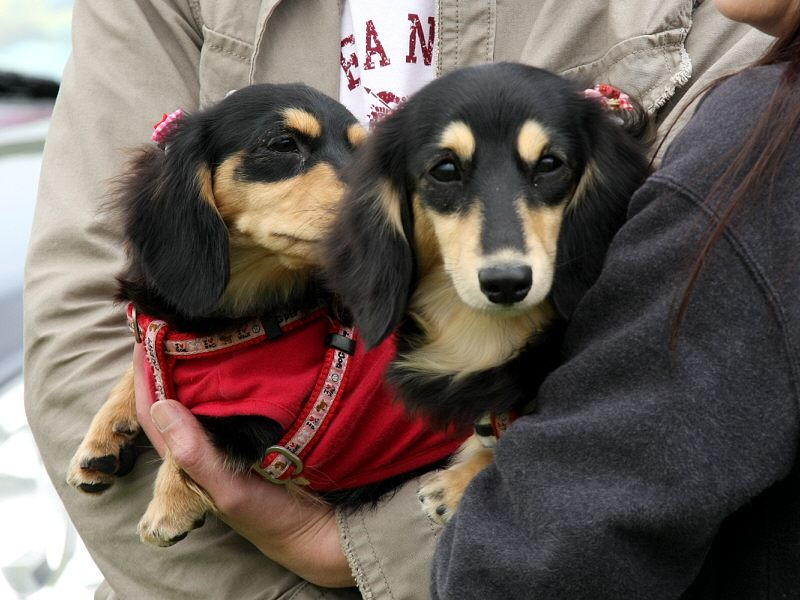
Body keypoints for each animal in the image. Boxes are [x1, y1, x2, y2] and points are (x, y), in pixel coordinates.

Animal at [67, 83, 463, 546]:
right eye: (283, 144)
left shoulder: (266, 411)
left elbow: (204, 426)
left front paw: (170, 501)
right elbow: (146, 365)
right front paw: (105, 435)